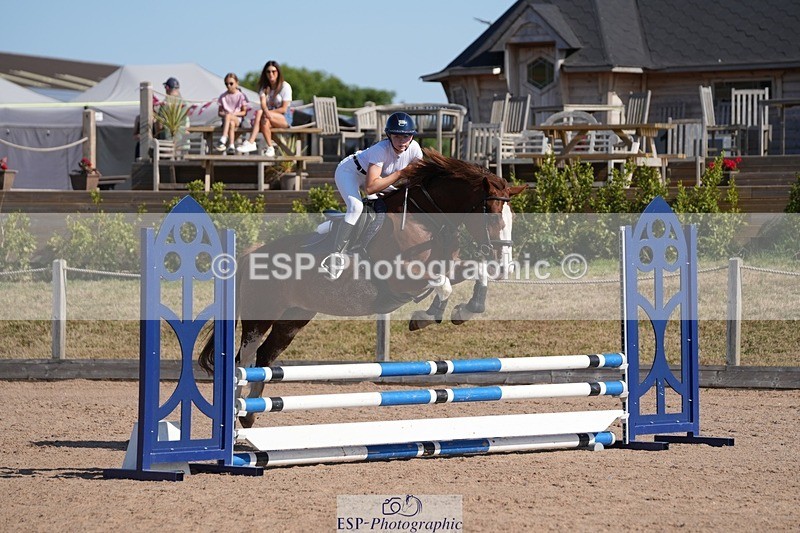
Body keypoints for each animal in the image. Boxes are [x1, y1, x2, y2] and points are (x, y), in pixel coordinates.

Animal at [199, 149, 525, 427]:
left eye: (513, 218)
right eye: (492, 214)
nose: (504, 266)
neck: (429, 220)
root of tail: (251, 253)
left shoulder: (451, 266)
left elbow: (473, 272)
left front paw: (464, 311)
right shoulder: (402, 277)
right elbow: (441, 284)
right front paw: (425, 316)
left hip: (294, 318)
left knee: (266, 357)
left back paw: (250, 416)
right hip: (261, 315)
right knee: (244, 359)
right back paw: (237, 416)